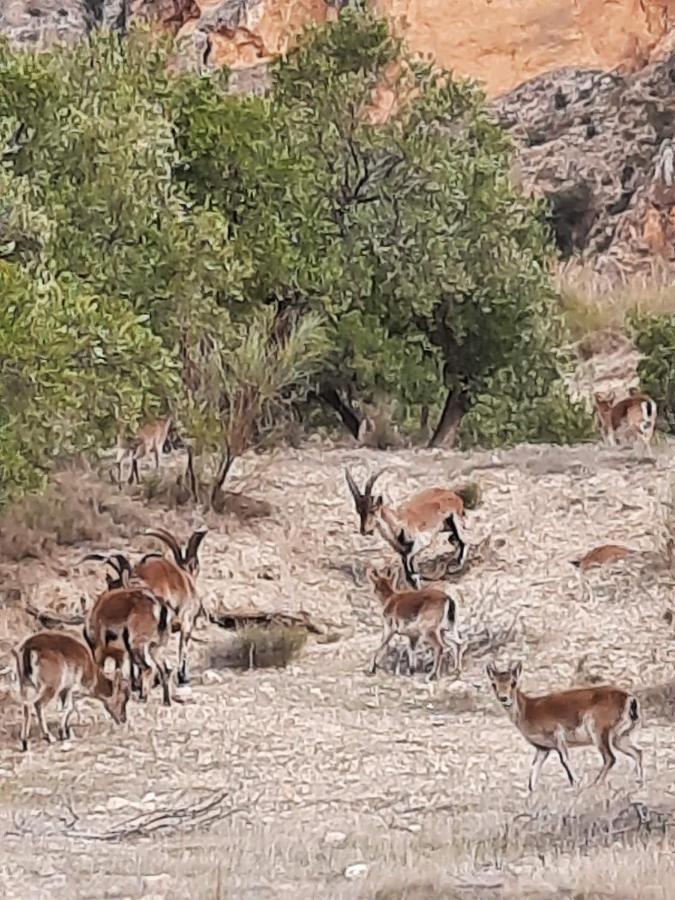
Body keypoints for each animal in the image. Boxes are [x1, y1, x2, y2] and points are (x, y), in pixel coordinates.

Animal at [488, 660, 640, 788]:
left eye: (513, 682)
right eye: (494, 684)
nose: (504, 698)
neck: (529, 709)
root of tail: (629, 698)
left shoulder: (557, 734)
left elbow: (564, 760)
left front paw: (576, 782)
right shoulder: (542, 748)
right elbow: (533, 773)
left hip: (598, 731)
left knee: (610, 758)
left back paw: (594, 784)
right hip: (620, 737)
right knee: (637, 752)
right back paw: (639, 782)